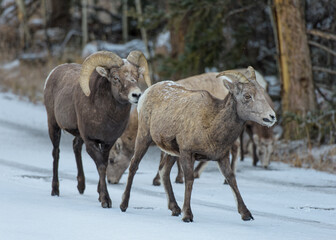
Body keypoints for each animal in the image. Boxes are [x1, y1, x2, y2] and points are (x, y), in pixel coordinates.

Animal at [43, 49, 151, 207]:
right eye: (115, 78)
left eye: (137, 76)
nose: (136, 94)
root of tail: (53, 73)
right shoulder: (91, 142)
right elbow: (101, 166)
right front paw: (106, 200)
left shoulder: (107, 143)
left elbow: (104, 165)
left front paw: (100, 195)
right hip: (53, 125)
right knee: (56, 153)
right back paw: (55, 191)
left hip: (78, 134)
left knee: (76, 147)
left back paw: (81, 187)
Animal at [119, 67, 276, 221]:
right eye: (247, 96)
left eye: (261, 92)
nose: (271, 117)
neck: (211, 126)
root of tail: (149, 91)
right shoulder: (187, 153)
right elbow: (189, 179)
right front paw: (187, 215)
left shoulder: (222, 157)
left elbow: (231, 179)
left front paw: (246, 214)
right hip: (144, 137)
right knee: (134, 166)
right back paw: (124, 205)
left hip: (171, 152)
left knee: (164, 171)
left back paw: (175, 208)